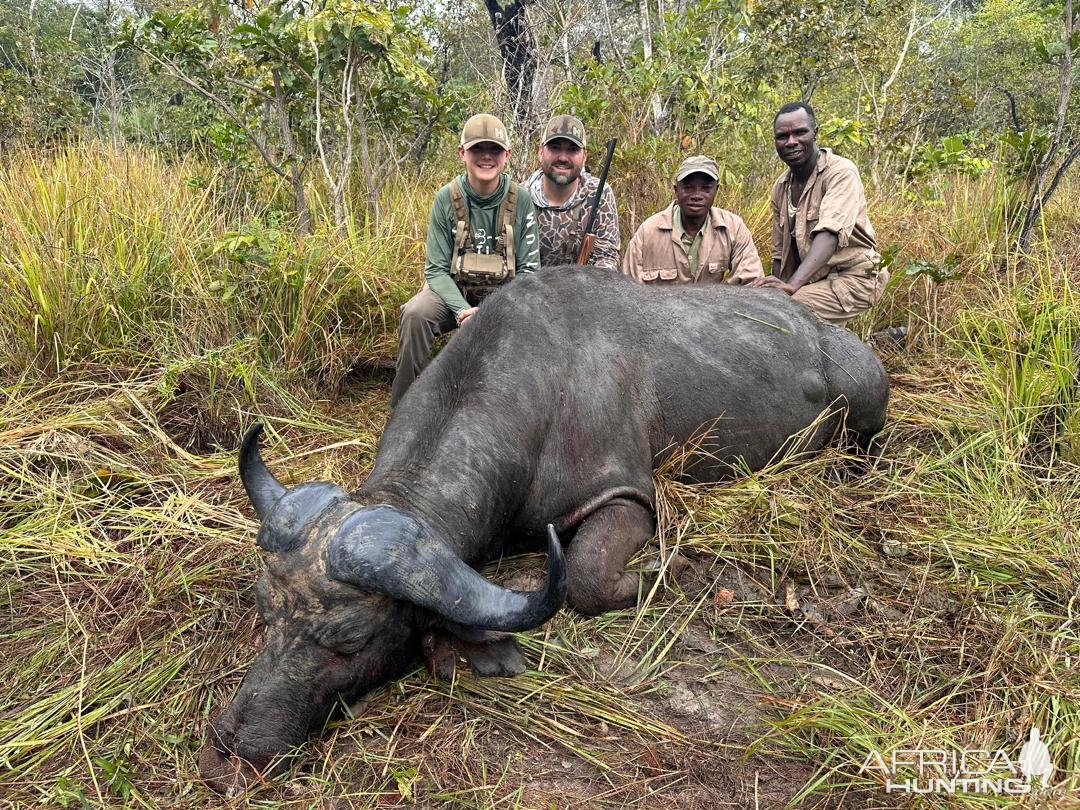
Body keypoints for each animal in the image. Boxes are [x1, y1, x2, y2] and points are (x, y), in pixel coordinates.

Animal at [198, 264, 889, 794]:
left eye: (350, 642)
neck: (538, 391)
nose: (230, 750)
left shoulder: (626, 499)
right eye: (265, 613)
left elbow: (584, 578)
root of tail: (831, 340)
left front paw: (672, 569)